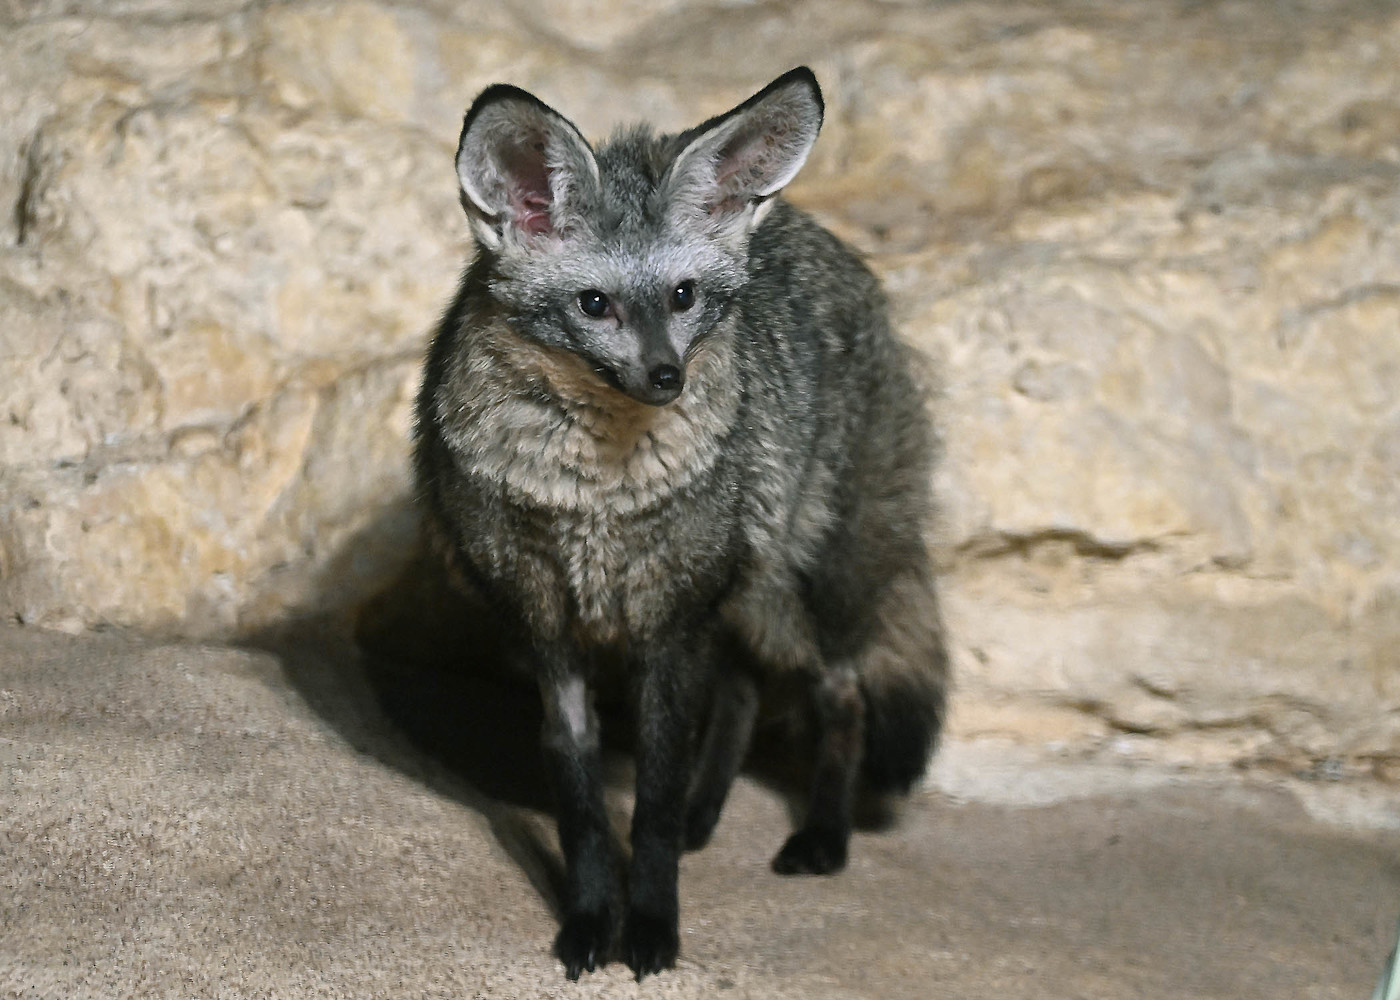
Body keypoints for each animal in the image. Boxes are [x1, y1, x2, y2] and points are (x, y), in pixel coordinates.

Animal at [412, 67, 949, 980]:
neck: (591, 496)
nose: (667, 377)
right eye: (594, 305)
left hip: (790, 592)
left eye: (683, 296)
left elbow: (652, 804)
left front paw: (653, 923)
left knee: (840, 694)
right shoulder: (547, 629)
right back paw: (712, 813)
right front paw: (592, 919)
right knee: (742, 691)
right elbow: (583, 803)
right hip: (742, 599)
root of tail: (818, 236)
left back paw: (824, 836)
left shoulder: (670, 622)